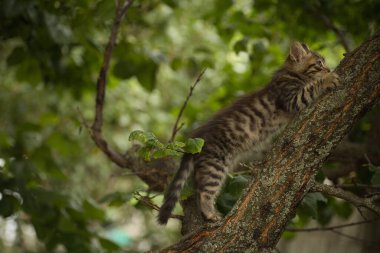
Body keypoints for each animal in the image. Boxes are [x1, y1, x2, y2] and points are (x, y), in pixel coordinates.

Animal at [157, 42, 342, 225]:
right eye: (319, 63)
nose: (329, 69)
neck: (291, 73)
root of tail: (197, 137)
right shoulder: (291, 98)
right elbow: (310, 89)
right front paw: (328, 79)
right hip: (215, 165)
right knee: (203, 192)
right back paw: (210, 214)